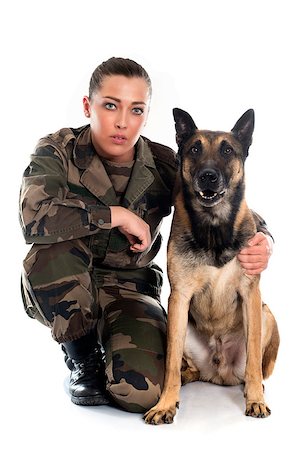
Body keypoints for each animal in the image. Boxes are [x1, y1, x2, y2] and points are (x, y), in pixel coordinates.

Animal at [144, 107, 280, 424]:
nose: (208, 176)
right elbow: (170, 364)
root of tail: (219, 372)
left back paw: (256, 388)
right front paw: (166, 403)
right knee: (185, 367)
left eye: (227, 150)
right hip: (177, 325)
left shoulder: (250, 294)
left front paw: (255, 400)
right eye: (195, 149)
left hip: (265, 313)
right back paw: (185, 379)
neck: (213, 227)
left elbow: (253, 360)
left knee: (254, 368)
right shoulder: (179, 299)